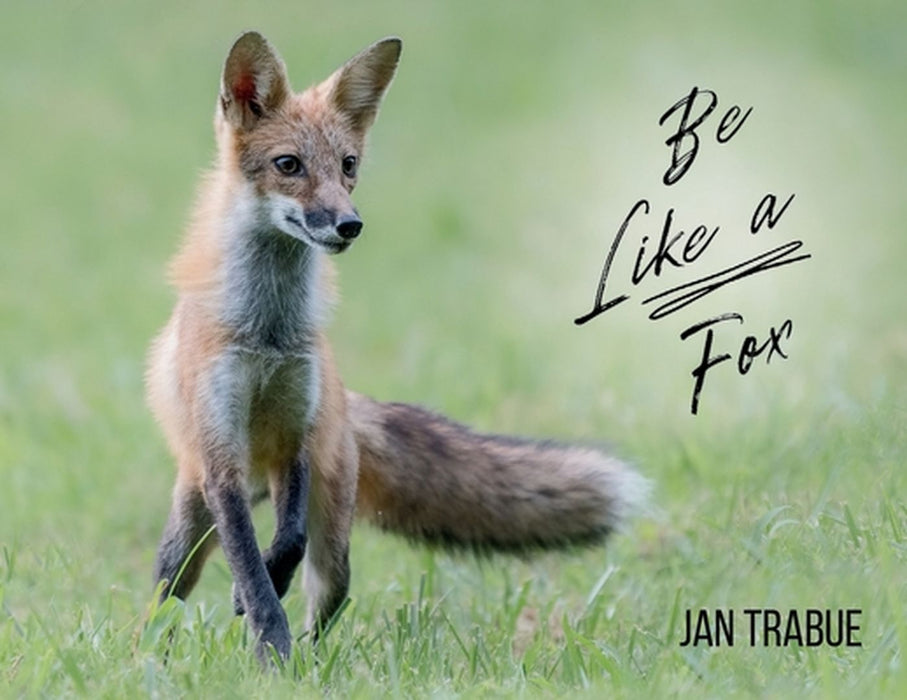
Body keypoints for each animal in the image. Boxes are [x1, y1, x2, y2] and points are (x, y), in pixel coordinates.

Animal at [147, 31, 647, 663]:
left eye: (348, 166)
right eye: (288, 165)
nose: (349, 225)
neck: (269, 333)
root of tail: (350, 404)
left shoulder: (295, 434)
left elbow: (286, 545)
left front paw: (271, 626)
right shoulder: (222, 457)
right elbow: (250, 568)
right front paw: (268, 640)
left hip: (334, 543)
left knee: (326, 596)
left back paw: (310, 659)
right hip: (190, 524)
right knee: (165, 596)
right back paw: (146, 654)